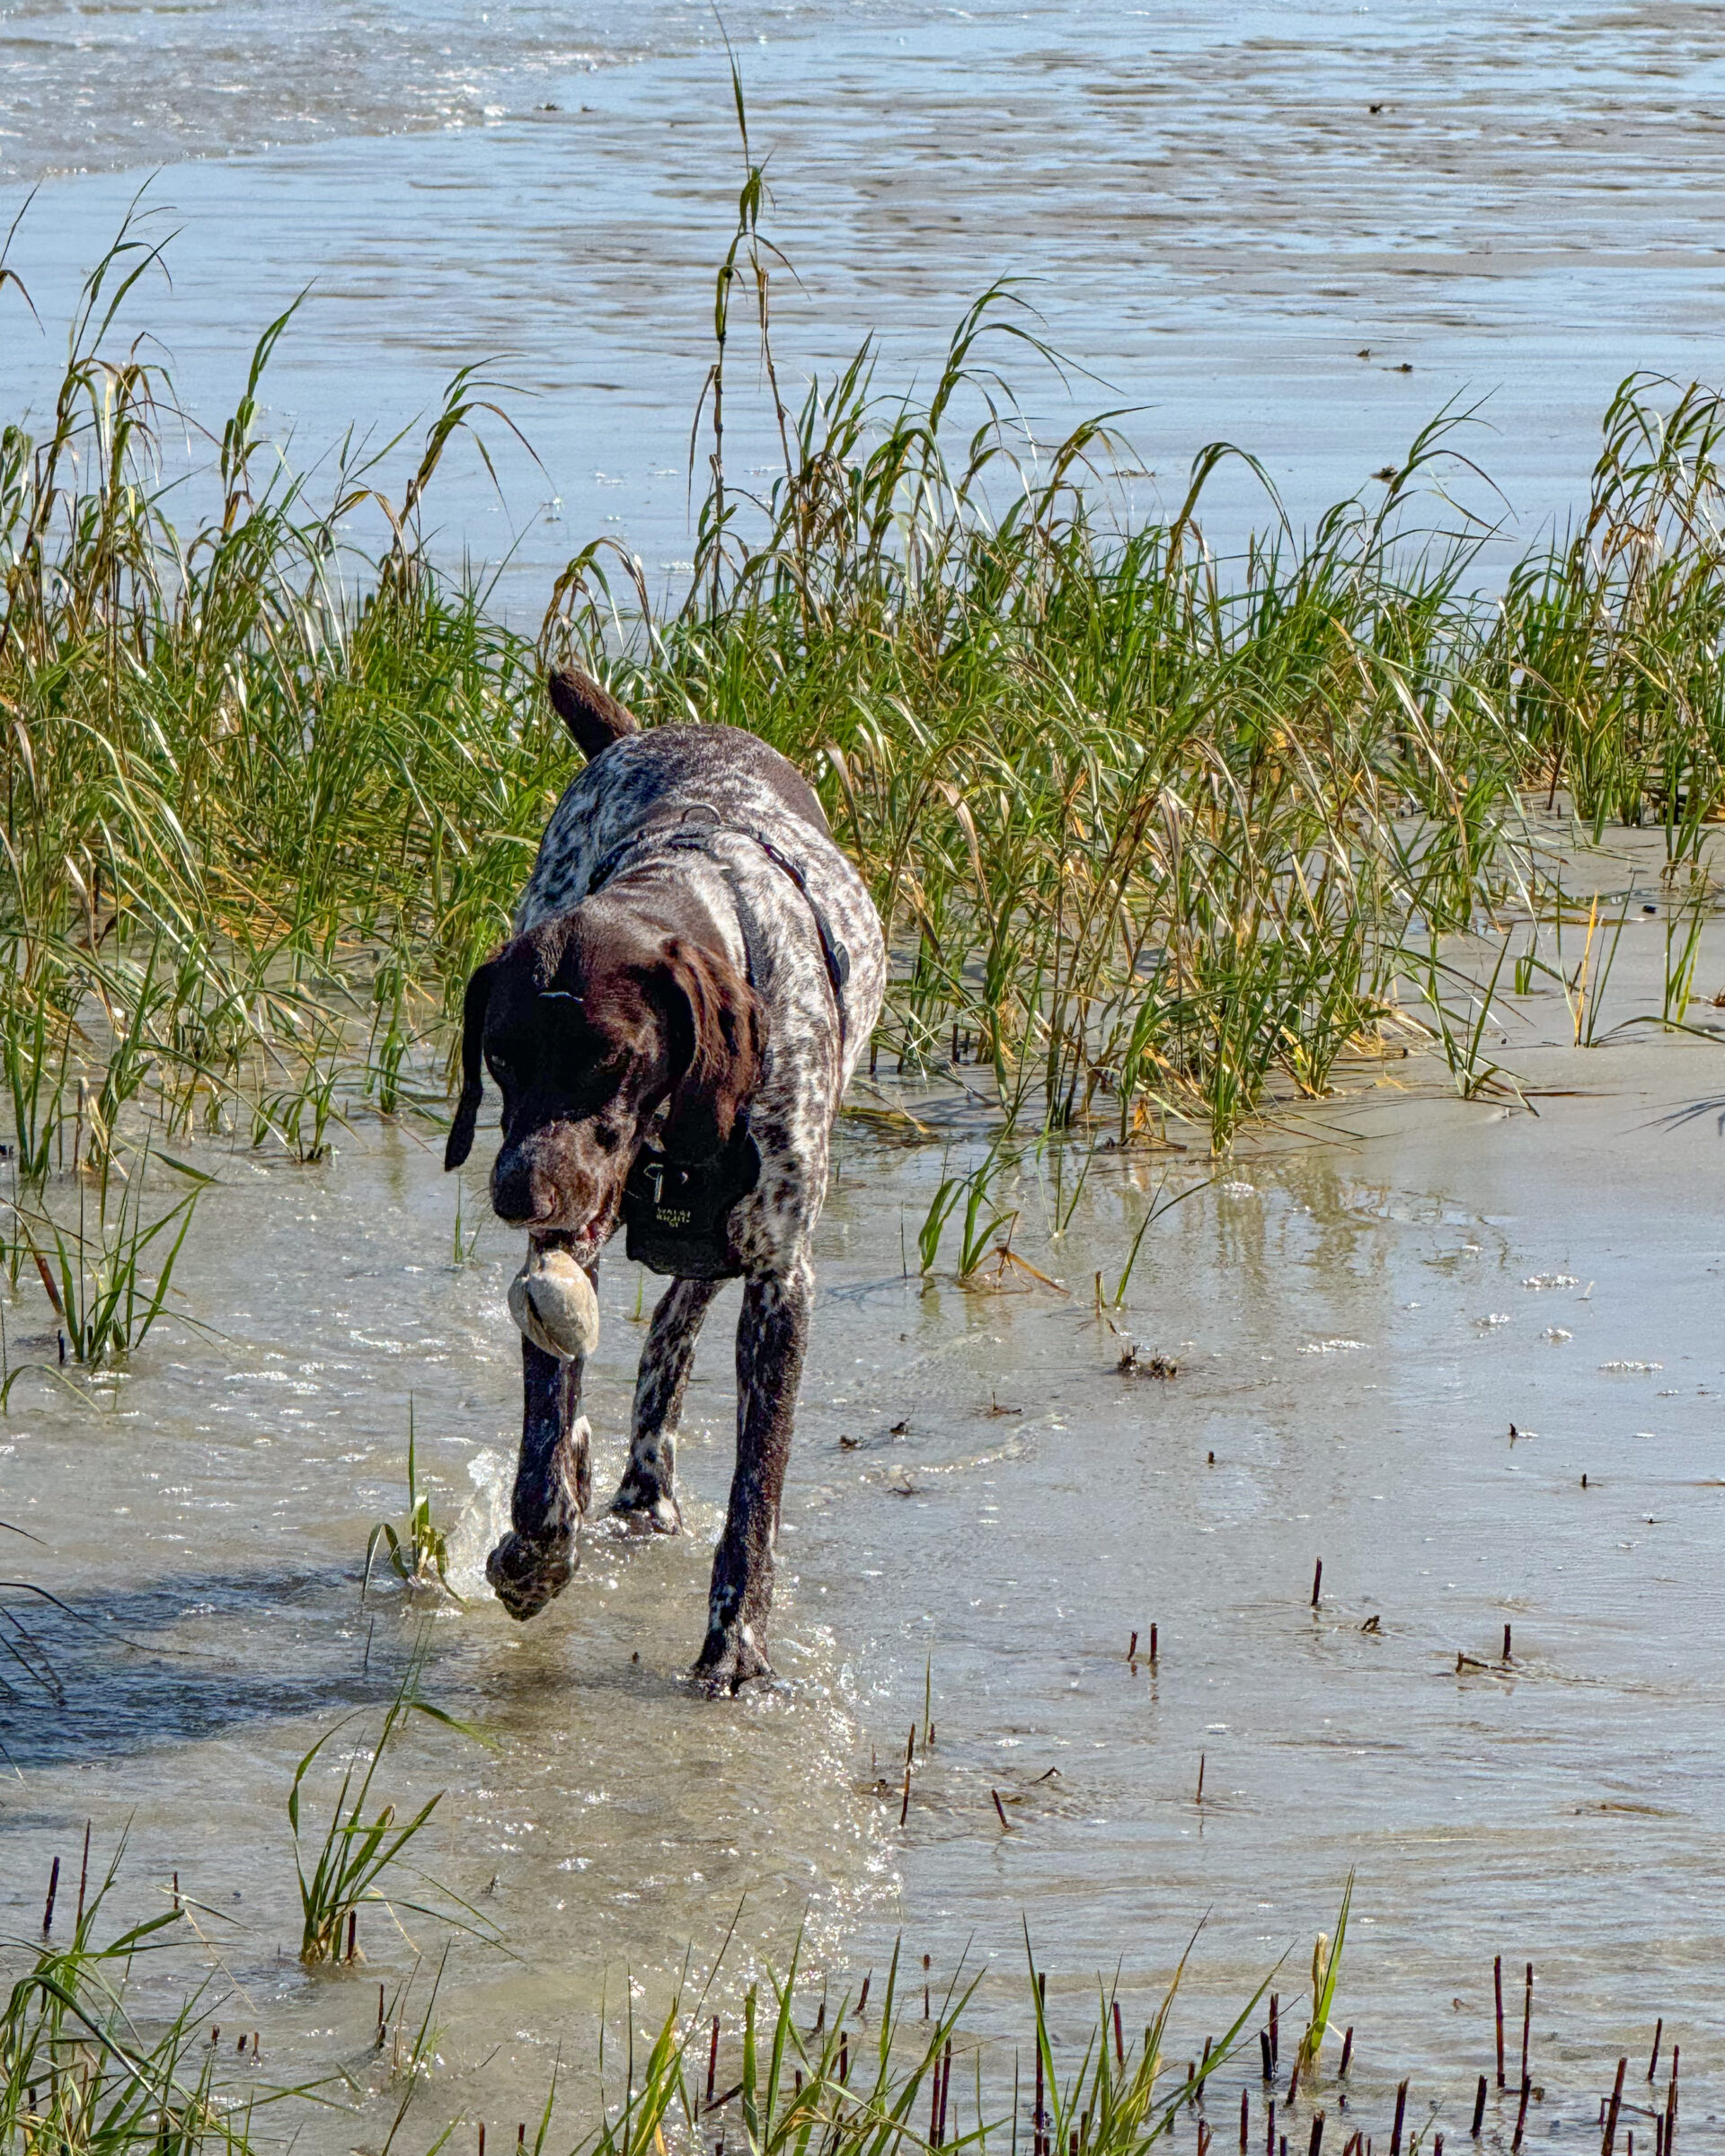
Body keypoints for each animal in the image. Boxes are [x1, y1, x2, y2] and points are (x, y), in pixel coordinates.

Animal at [444, 664, 884, 1690]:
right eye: (501, 1057)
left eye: (609, 1058)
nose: (518, 1190)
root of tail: (650, 732)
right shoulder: (566, 1255)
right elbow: (541, 1454)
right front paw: (532, 1557)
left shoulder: (780, 1284)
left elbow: (755, 1500)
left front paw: (736, 1646)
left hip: (731, 1249)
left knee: (673, 1338)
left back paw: (648, 1487)